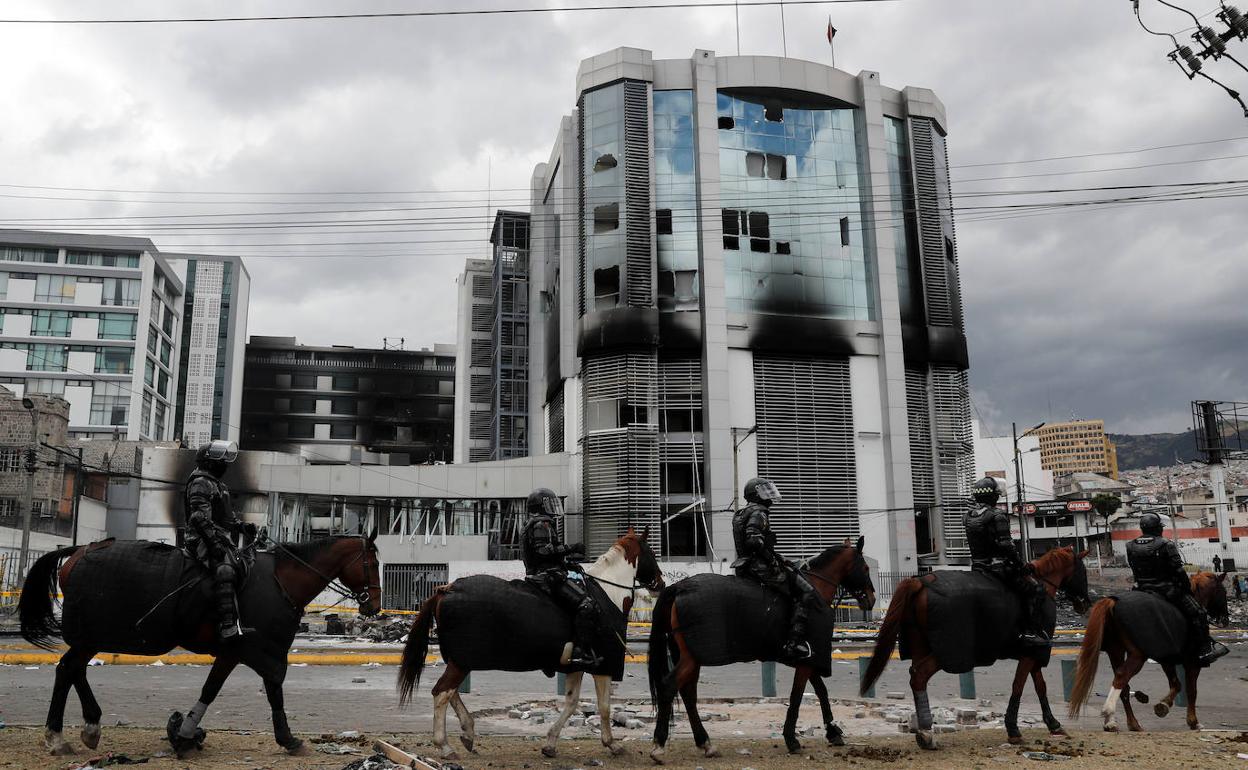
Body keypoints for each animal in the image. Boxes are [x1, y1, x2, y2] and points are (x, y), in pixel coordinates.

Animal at [18, 531, 379, 753]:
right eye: (372, 563)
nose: (373, 605)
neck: (281, 580)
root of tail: (80, 551)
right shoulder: (260, 650)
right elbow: (270, 690)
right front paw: (288, 739)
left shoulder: (235, 652)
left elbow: (214, 688)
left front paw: (186, 732)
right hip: (90, 635)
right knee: (68, 669)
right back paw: (57, 736)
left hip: (90, 637)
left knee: (73, 669)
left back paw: (89, 727)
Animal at [404, 526, 668, 758]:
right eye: (652, 553)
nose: (660, 583)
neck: (608, 593)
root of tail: (447, 589)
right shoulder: (604, 666)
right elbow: (603, 707)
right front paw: (612, 744)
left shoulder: (575, 665)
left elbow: (571, 702)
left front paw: (550, 744)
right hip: (461, 661)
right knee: (442, 693)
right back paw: (445, 746)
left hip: (460, 660)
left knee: (451, 692)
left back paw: (468, 732)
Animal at [643, 534, 878, 763]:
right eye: (866, 568)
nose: (871, 599)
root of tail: (679, 587)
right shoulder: (805, 662)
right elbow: (797, 695)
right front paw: (792, 739)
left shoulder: (808, 660)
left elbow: (821, 691)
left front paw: (832, 731)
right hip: (691, 657)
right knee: (669, 686)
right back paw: (659, 746)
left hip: (690, 656)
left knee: (688, 693)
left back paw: (706, 744)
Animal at [858, 544, 1093, 748]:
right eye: (1083, 572)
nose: (1085, 604)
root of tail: (923, 581)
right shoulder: (1031, 653)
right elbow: (1018, 686)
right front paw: (1014, 730)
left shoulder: (1033, 653)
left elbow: (1040, 686)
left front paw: (1054, 724)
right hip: (946, 651)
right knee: (919, 675)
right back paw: (927, 733)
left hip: (920, 645)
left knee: (916, 676)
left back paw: (923, 729)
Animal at [1068, 571, 1233, 733]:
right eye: (1223, 591)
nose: (1225, 619)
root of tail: (1114, 601)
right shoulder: (1193, 662)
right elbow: (1191, 691)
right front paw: (1193, 722)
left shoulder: (1167, 659)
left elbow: (1176, 684)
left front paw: (1164, 705)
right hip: (1137, 655)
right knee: (1121, 677)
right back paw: (1109, 711)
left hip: (1116, 650)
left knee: (1124, 686)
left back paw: (1123, 723)